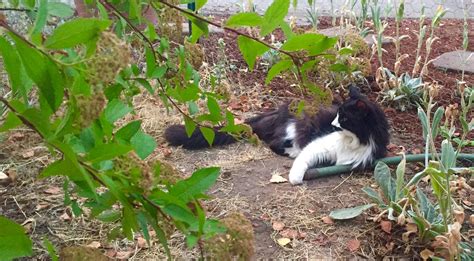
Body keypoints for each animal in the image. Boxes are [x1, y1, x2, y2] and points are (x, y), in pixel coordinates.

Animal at [165, 84, 390, 184]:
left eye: (343, 118)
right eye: (337, 115)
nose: (333, 124)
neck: (354, 141)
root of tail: (275, 111)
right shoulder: (319, 145)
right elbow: (303, 160)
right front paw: (295, 178)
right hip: (295, 128)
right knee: (275, 143)